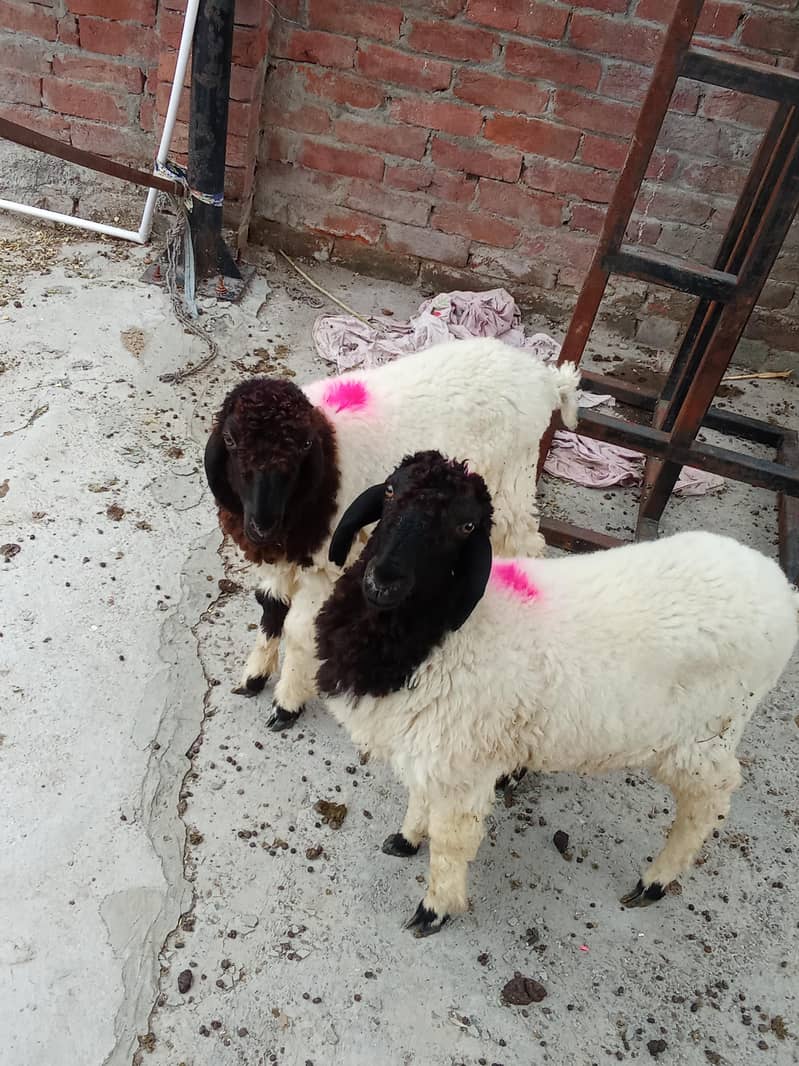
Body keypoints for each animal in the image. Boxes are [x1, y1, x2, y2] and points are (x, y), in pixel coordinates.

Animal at [204, 337, 580, 731]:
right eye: (229, 439)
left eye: (305, 447)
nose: (262, 524)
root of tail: (545, 378)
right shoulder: (284, 559)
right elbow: (270, 607)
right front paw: (254, 677)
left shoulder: (326, 567)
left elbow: (297, 631)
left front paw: (286, 704)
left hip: (513, 481)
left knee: (528, 542)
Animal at [315, 450, 799, 937]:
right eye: (390, 490)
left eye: (466, 526)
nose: (383, 582)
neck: (438, 638)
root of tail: (780, 586)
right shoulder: (432, 752)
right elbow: (419, 798)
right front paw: (406, 838)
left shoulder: (461, 767)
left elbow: (451, 843)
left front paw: (435, 908)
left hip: (706, 736)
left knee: (711, 799)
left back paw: (655, 881)